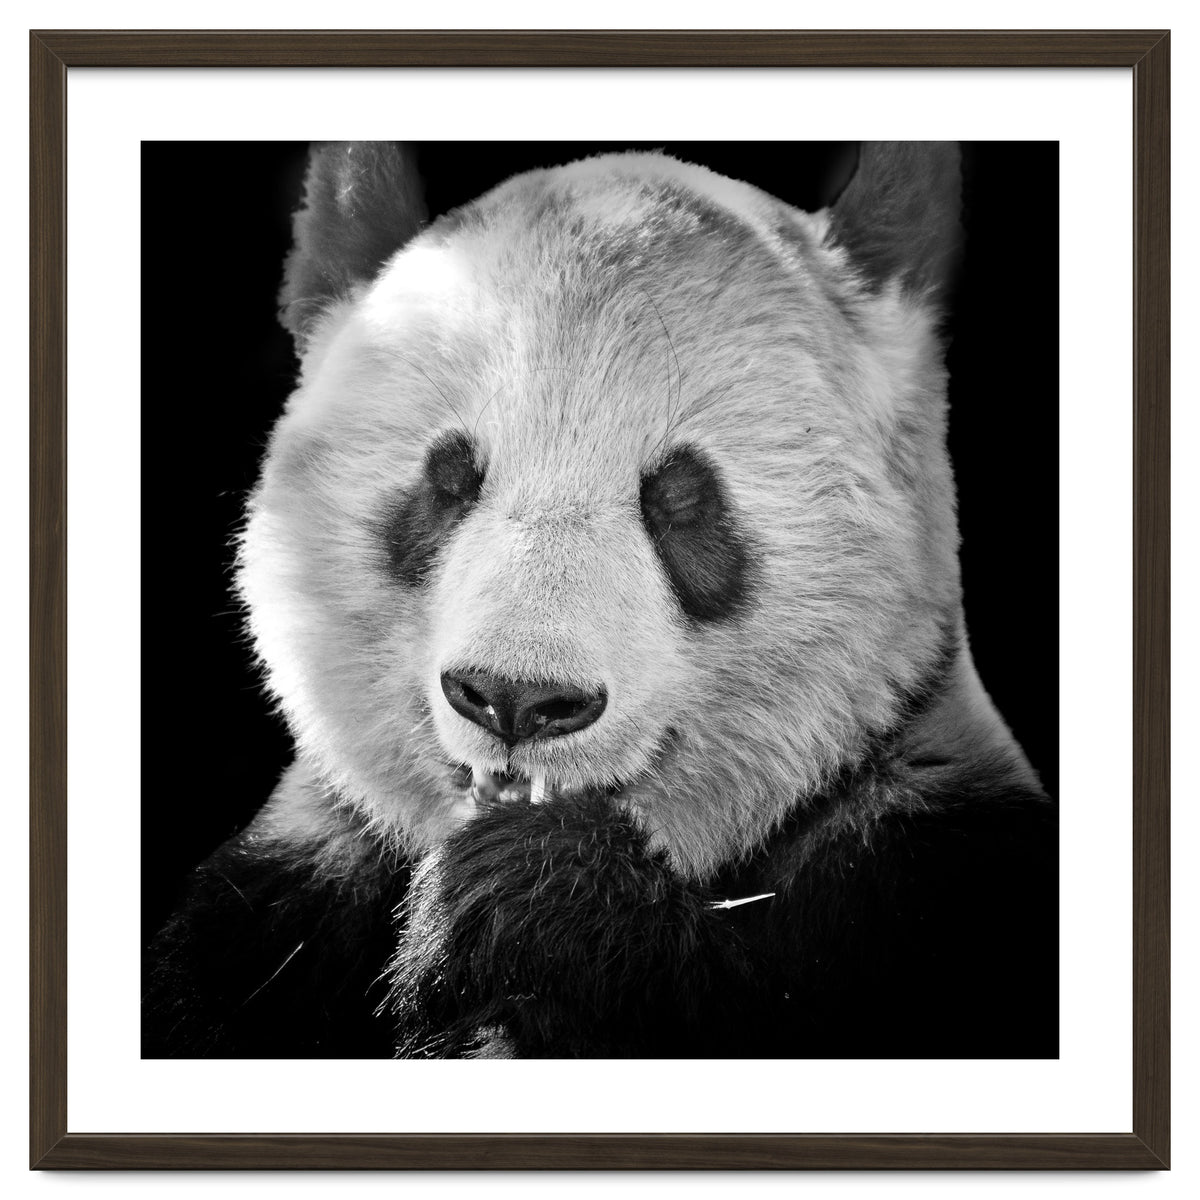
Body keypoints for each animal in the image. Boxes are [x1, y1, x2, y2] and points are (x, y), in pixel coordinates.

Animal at [143, 142, 1058, 1060]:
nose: (516, 698)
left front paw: (535, 899)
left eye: (681, 499)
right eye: (449, 479)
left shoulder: (926, 871)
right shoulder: (277, 906)